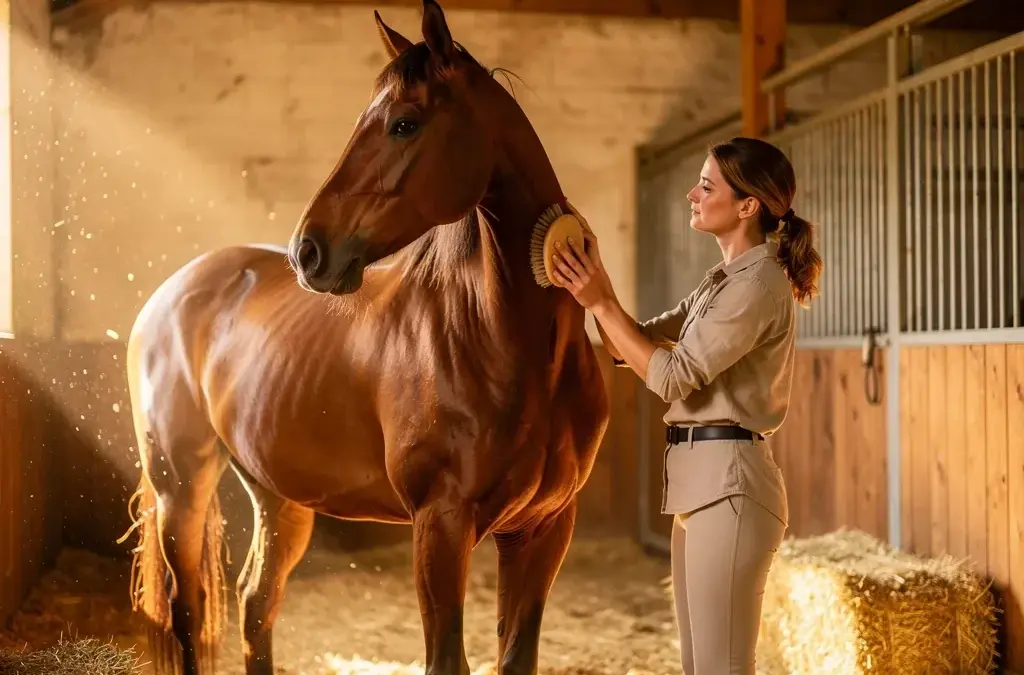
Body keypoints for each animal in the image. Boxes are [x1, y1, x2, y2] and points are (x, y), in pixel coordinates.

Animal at [119, 1, 611, 674]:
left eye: (404, 124)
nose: (309, 251)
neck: (507, 345)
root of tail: (165, 298)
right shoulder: (440, 526)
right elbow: (446, 659)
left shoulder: (544, 527)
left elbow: (516, 656)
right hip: (181, 486)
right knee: (188, 608)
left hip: (278, 496)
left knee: (256, 601)